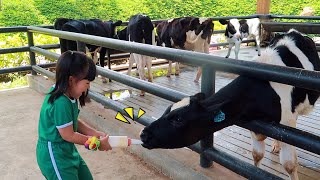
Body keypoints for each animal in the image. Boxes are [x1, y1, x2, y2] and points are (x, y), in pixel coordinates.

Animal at [141, 28, 320, 179]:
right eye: (167, 110)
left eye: (178, 119)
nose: (144, 134)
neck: (262, 87)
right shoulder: (253, 121)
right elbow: (257, 155)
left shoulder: (286, 120)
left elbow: (289, 164)